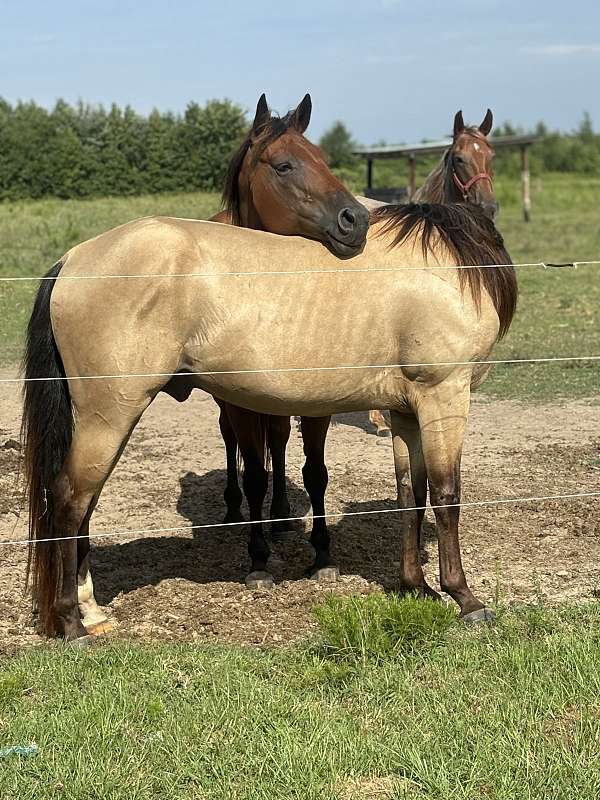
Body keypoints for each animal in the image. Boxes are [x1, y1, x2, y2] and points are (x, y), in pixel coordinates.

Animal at [22, 202, 517, 643]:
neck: (446, 267)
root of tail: (74, 259)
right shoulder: (443, 394)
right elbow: (446, 495)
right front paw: (465, 599)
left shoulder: (405, 412)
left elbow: (410, 495)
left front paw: (417, 587)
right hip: (109, 414)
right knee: (68, 499)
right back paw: (71, 624)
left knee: (84, 504)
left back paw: (92, 613)